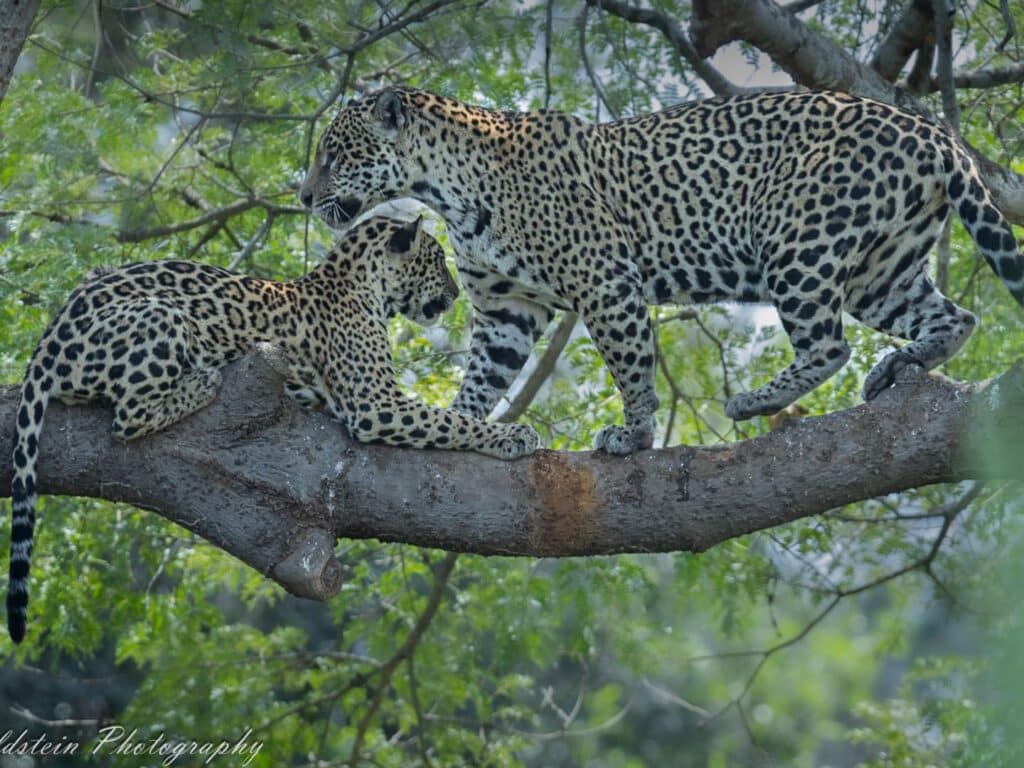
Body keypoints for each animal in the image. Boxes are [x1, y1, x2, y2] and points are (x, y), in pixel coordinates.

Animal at [6, 215, 539, 644]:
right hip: (161, 315)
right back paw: (202, 381)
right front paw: (514, 437)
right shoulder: (374, 403)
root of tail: (45, 343)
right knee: (128, 416)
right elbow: (449, 420)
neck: (356, 281)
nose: (454, 295)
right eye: (435, 260)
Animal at [299, 87, 1024, 456]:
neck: (447, 187)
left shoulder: (603, 280)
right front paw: (465, 429)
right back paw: (904, 363)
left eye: (334, 154)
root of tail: (933, 132)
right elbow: (480, 379)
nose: (304, 197)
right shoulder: (507, 310)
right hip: (883, 268)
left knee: (828, 344)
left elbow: (631, 368)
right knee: (954, 316)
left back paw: (755, 400)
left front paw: (636, 435)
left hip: (798, 238)